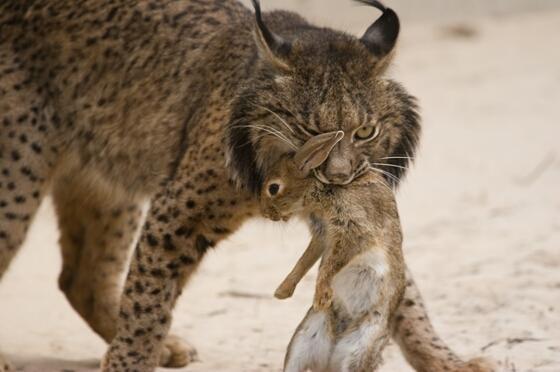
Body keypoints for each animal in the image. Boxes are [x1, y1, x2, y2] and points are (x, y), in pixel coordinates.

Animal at [260, 130, 404, 370]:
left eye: (273, 188)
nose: (266, 214)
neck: (322, 189)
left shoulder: (352, 229)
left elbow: (331, 263)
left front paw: (321, 296)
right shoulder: (323, 235)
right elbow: (305, 261)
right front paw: (282, 292)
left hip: (361, 347)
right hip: (302, 340)